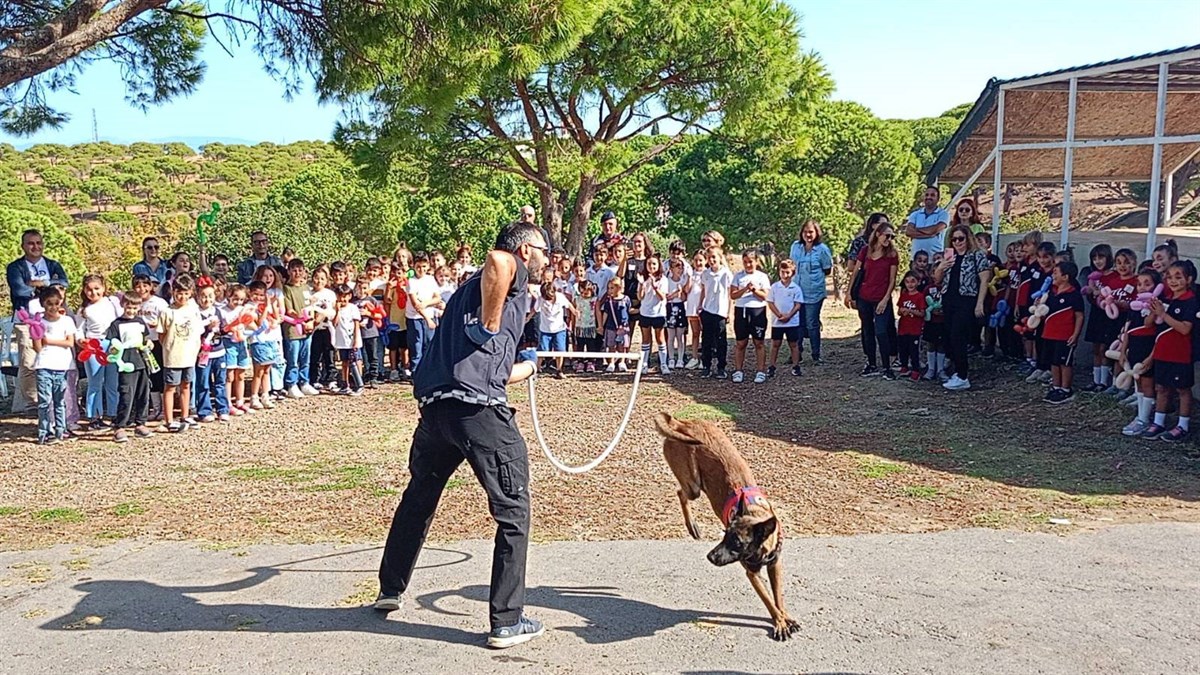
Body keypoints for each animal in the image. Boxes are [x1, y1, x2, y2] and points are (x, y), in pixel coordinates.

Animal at [652, 410, 801, 634]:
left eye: (737, 542)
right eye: (724, 535)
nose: (710, 557)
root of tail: (683, 424)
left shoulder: (775, 566)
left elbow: (778, 597)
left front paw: (786, 617)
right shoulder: (751, 573)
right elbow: (768, 600)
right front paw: (779, 621)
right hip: (693, 485)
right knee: (681, 492)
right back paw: (692, 526)